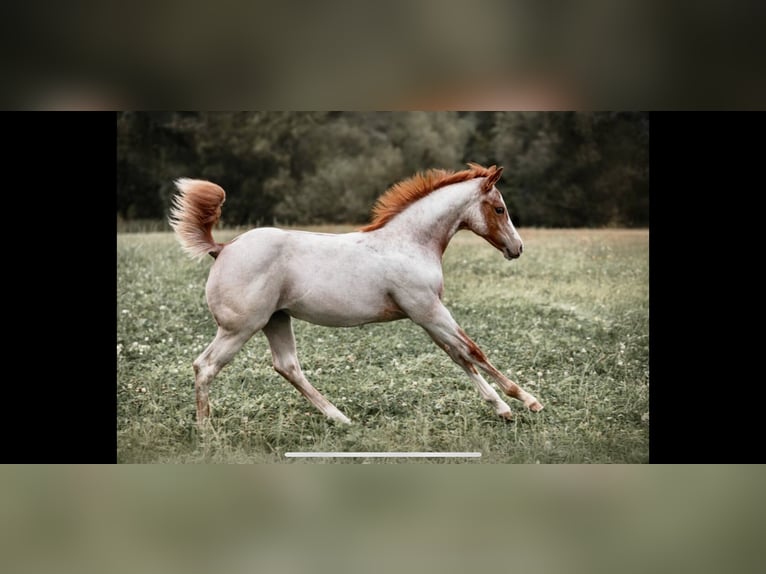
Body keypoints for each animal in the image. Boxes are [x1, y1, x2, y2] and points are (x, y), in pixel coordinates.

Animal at [169, 162, 543, 425]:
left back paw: (340, 418)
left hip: (276, 320)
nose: (518, 248)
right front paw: (527, 400)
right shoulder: (428, 310)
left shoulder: (427, 315)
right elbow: (473, 351)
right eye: (499, 209)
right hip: (240, 328)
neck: (409, 243)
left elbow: (459, 355)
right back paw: (206, 431)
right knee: (205, 366)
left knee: (287, 366)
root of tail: (222, 248)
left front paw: (502, 408)